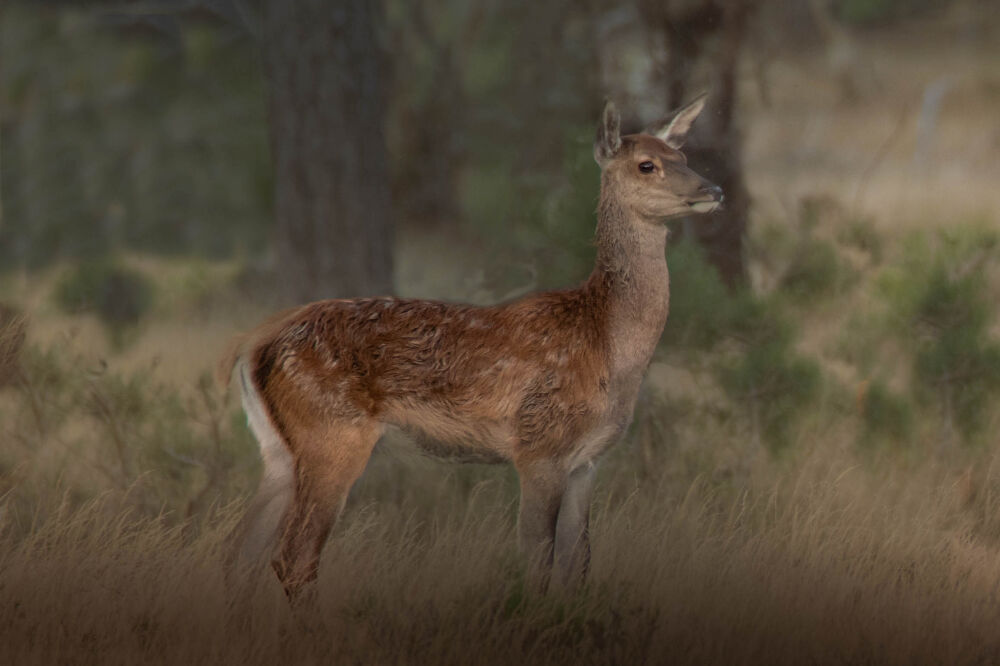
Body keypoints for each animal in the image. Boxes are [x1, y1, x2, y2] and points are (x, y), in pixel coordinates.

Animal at [221, 96, 720, 600]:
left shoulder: (588, 461)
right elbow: (537, 561)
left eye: (683, 155)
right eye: (647, 164)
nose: (713, 189)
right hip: (332, 432)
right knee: (294, 556)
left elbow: (577, 565)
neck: (606, 345)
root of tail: (253, 346)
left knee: (238, 551)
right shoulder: (538, 445)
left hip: (280, 449)